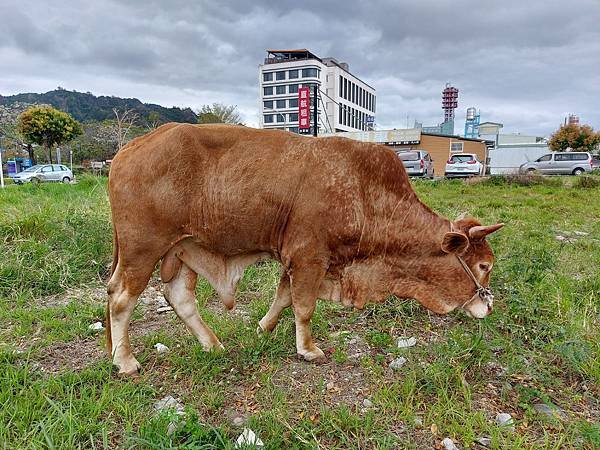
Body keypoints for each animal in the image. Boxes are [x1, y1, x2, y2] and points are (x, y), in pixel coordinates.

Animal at [106, 123, 502, 376]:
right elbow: (304, 307)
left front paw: (263, 328)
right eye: (484, 264)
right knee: (121, 299)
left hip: (184, 249)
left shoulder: (296, 259)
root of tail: (130, 147)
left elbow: (283, 297)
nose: (489, 306)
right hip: (142, 250)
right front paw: (308, 349)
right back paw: (124, 361)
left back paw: (212, 345)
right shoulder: (310, 256)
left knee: (178, 297)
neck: (365, 193)